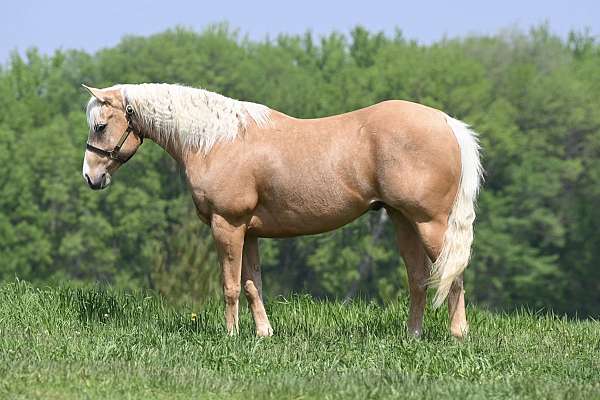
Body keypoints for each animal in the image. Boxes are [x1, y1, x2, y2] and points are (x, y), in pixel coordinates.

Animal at [81, 83, 482, 338]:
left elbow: (230, 285)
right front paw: (263, 334)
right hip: (403, 221)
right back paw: (412, 335)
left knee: (453, 274)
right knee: (418, 277)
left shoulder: (227, 225)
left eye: (100, 126)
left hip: (431, 224)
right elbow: (252, 284)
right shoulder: (249, 232)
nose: (91, 176)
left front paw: (230, 335)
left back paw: (457, 334)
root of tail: (447, 122)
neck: (217, 141)